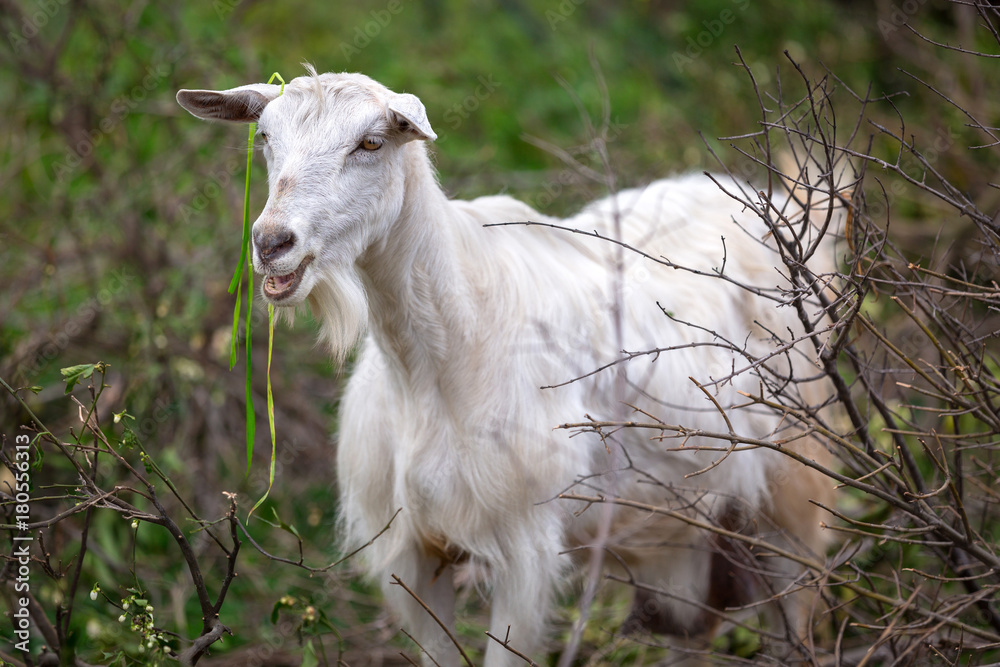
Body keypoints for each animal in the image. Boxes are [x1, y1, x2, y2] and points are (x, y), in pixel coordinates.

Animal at [180, 70, 836, 664]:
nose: (273, 243)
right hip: (684, 535)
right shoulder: (414, 556)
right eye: (265, 137)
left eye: (372, 142)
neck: (438, 364)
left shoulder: (526, 549)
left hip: (796, 489)